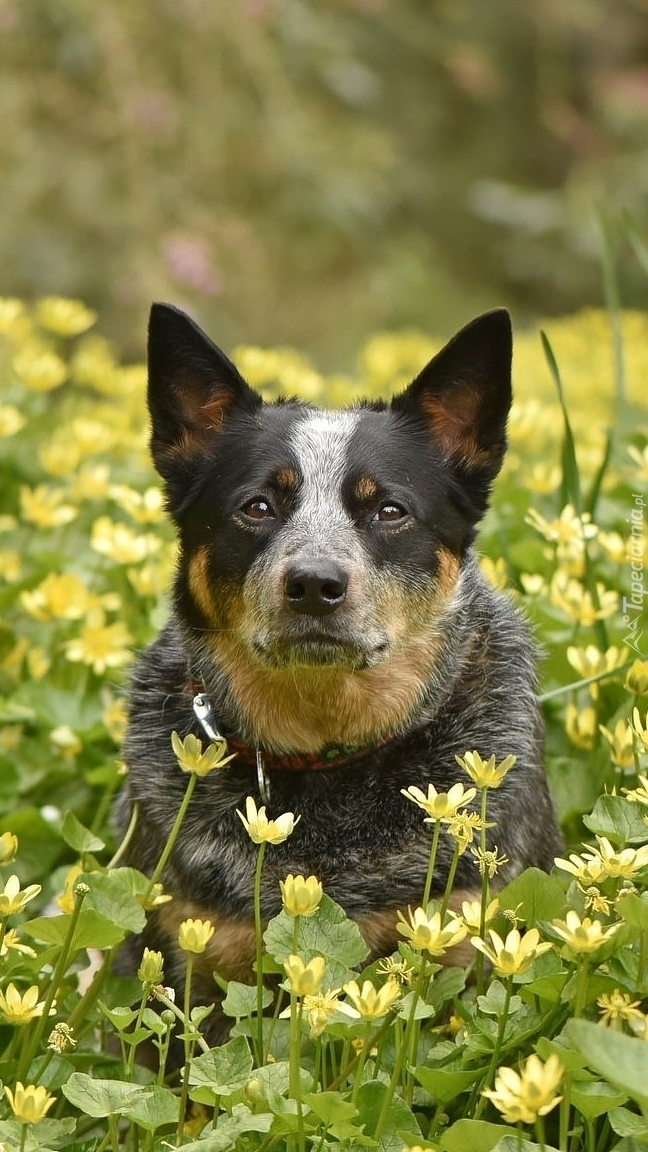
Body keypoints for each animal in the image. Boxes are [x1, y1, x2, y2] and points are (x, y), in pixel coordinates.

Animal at [115, 299, 560, 1036]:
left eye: (389, 509)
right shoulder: (195, 965)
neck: (327, 752)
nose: (315, 583)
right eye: (257, 506)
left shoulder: (463, 943)